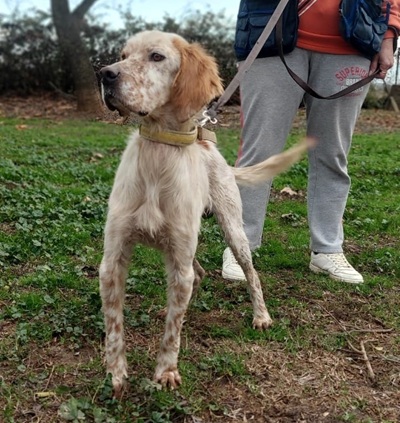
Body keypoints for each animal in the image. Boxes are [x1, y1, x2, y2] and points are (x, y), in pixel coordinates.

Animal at [99, 30, 310, 396]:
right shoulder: (112, 260)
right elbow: (115, 326)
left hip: (233, 231)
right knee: (195, 274)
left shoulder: (179, 254)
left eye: (156, 56)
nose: (105, 74)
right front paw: (117, 373)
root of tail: (208, 145)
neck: (159, 152)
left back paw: (261, 316)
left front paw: (166, 371)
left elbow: (172, 333)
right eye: (123, 55)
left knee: (251, 275)